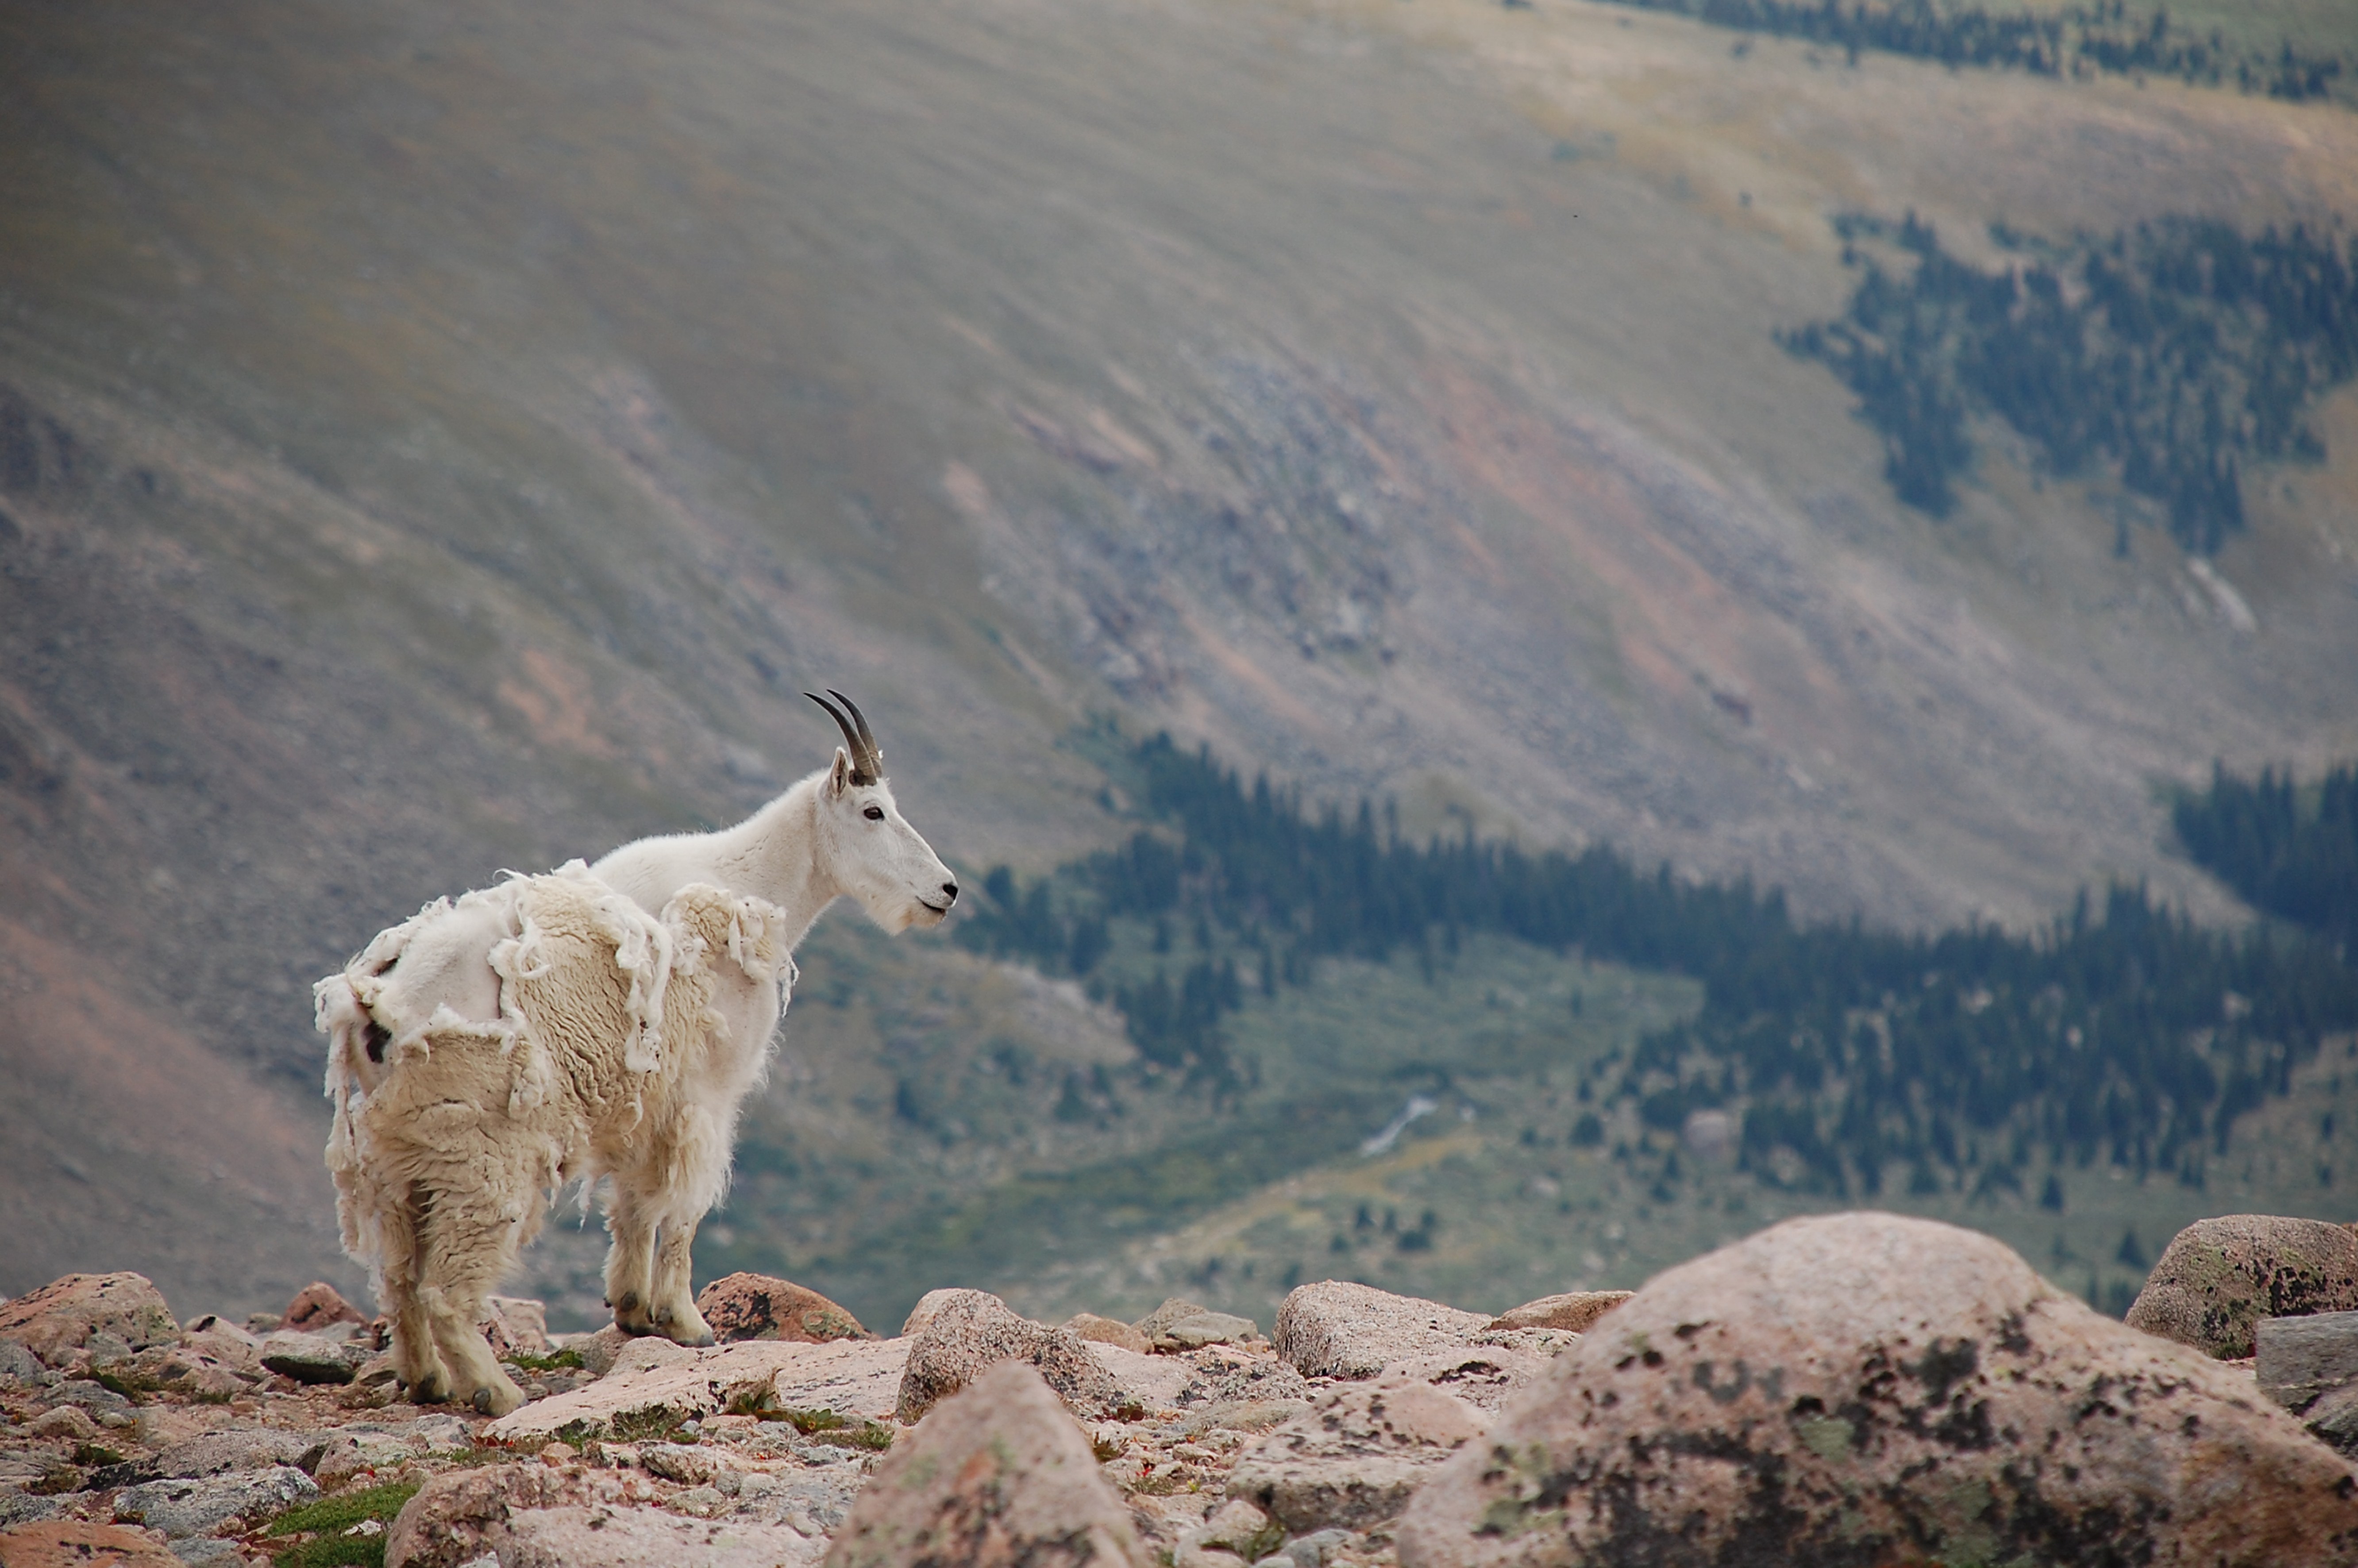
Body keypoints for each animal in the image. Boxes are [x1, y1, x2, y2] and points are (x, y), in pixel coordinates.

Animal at [317, 692, 956, 1415]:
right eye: (874, 811)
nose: (947, 890)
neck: (751, 885)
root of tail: (373, 999)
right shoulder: (708, 1094)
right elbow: (680, 1210)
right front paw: (686, 1321)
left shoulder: (643, 1099)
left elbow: (633, 1206)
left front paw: (630, 1308)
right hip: (480, 1147)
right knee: (444, 1288)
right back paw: (495, 1389)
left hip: (398, 1152)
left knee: (398, 1275)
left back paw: (427, 1378)